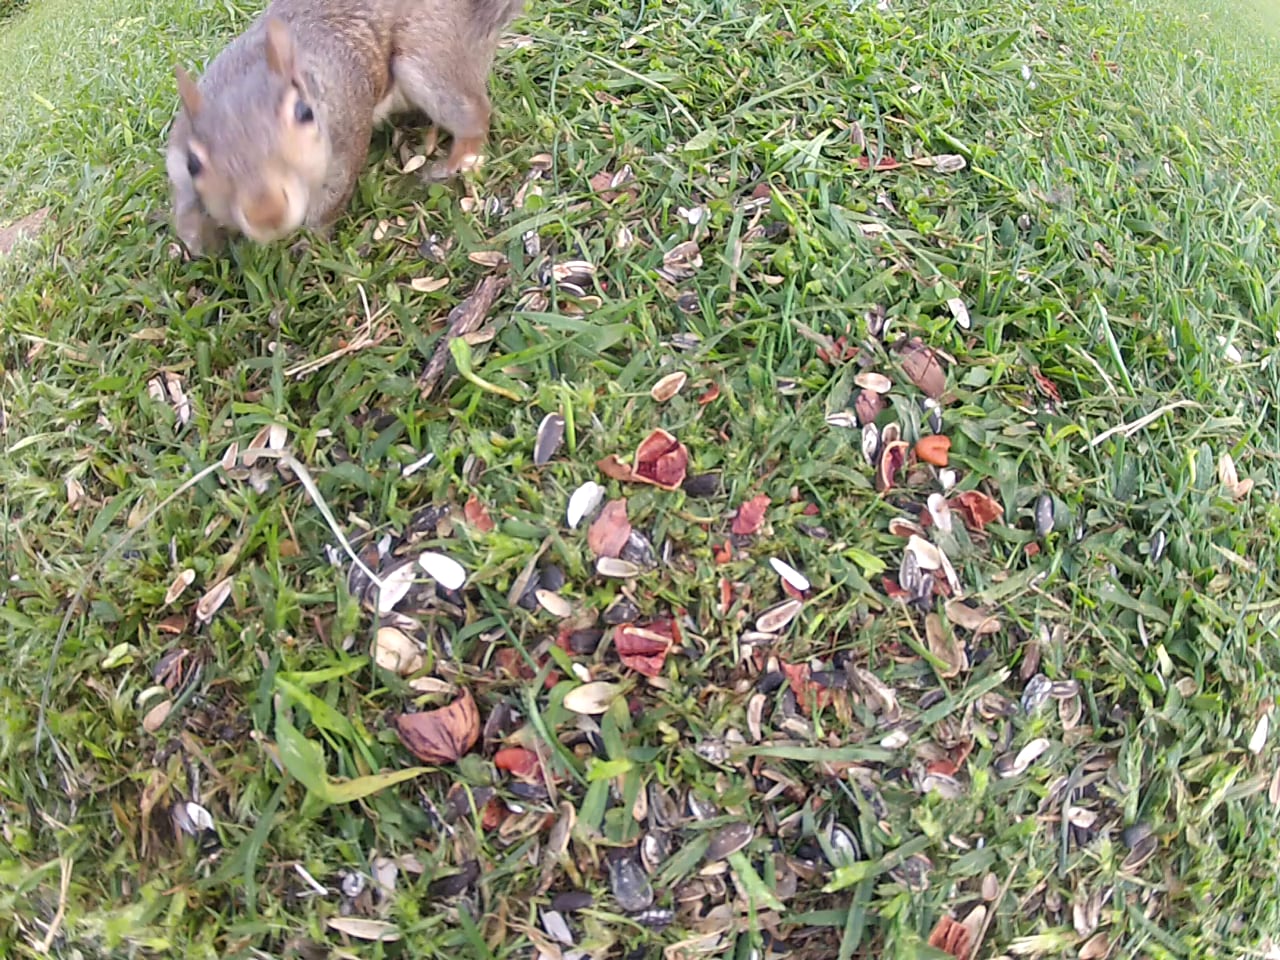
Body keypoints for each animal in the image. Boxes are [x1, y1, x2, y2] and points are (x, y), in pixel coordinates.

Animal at [165, 0, 523, 256]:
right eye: (192, 162)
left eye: (304, 112)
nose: (267, 215)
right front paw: (198, 241)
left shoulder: (347, 133)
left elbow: (332, 198)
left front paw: (310, 244)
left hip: (429, 61)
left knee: (474, 115)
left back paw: (456, 161)